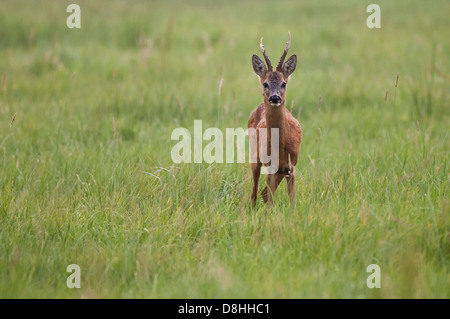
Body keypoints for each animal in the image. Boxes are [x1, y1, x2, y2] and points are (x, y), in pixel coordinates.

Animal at [250, 33, 302, 208]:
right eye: (265, 83)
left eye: (284, 83)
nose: (274, 98)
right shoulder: (270, 166)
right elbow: (270, 201)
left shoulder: (291, 166)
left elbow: (292, 200)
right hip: (255, 157)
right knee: (255, 192)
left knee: (264, 193)